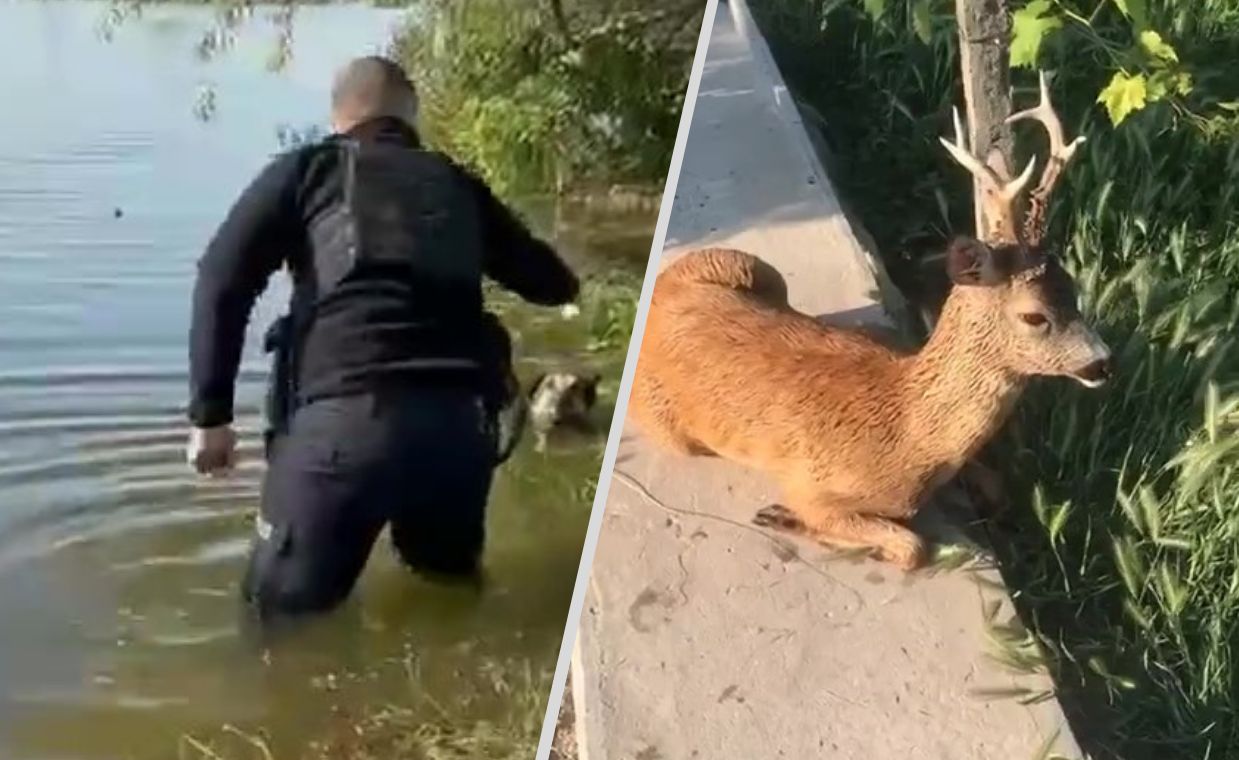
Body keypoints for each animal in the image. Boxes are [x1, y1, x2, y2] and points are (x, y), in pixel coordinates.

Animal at [629, 72, 1115, 570]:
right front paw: (784, 517)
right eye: (1034, 315)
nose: (1103, 362)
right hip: (666, 422)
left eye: (1074, 289)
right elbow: (911, 547)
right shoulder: (814, 485)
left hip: (749, 265)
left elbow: (995, 489)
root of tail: (657, 300)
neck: (913, 436)